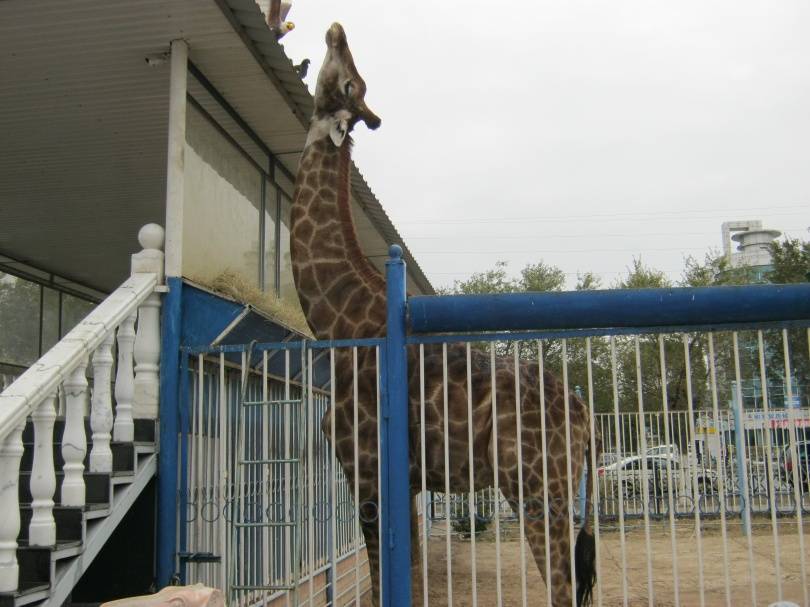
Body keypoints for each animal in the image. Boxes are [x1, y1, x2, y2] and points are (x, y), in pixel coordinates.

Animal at [288, 21, 596, 604]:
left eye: (349, 84)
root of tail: (584, 414)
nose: (336, 29)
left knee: (563, 584)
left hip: (537, 484)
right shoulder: (403, 482)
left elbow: (383, 582)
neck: (340, 323)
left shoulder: (366, 469)